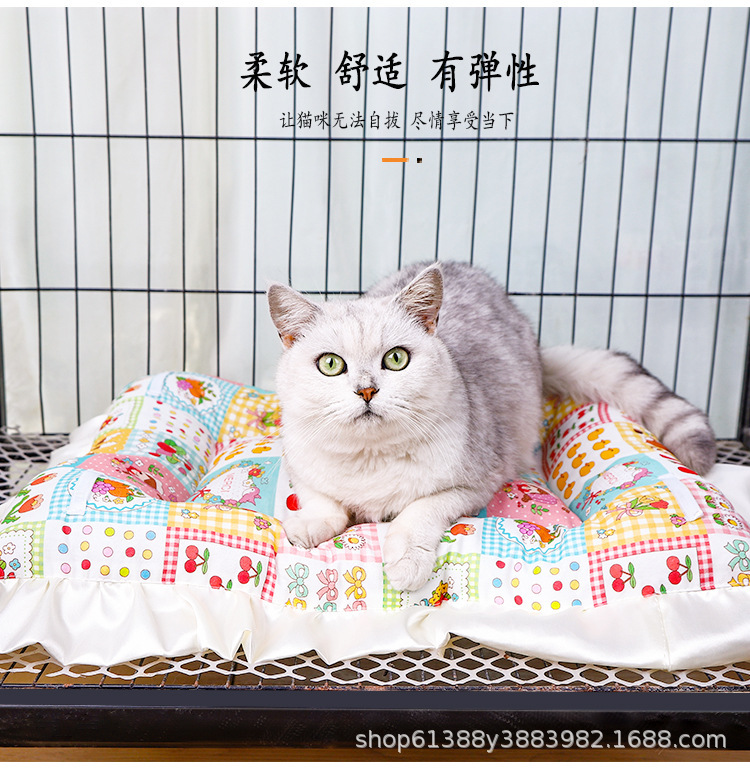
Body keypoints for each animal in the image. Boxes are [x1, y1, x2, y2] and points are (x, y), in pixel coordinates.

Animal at [267, 261, 716, 591]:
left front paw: (406, 560)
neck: (370, 457)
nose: (366, 390)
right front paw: (309, 524)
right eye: (330, 364)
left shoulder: (471, 485)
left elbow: (418, 510)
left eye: (396, 359)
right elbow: (322, 500)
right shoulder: (301, 464)